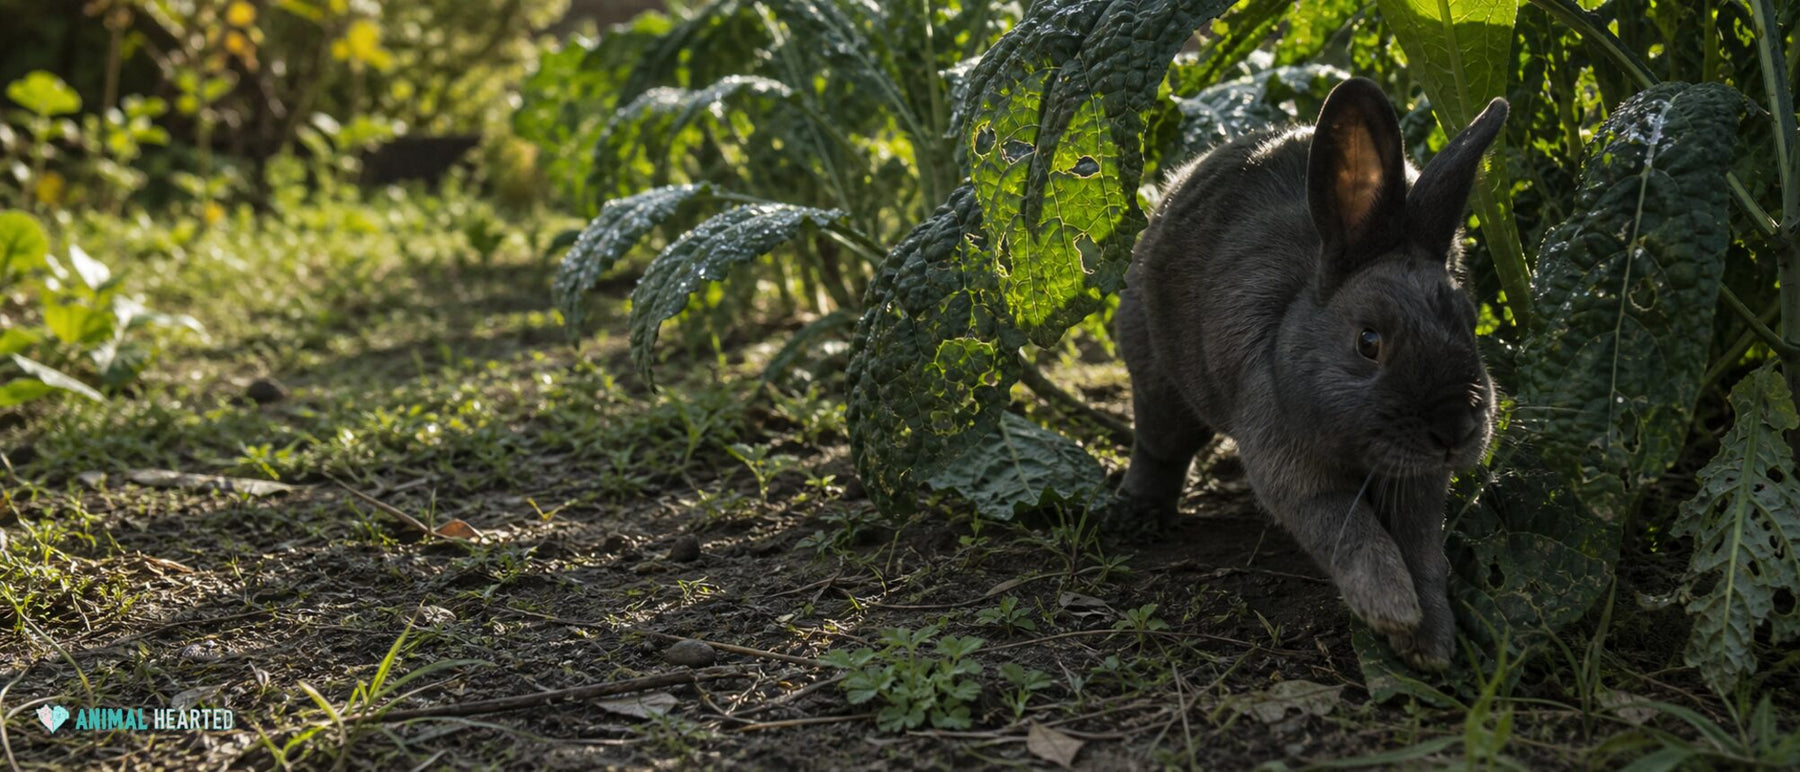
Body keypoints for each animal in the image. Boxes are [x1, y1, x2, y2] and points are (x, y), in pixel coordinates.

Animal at [1114, 77, 1506, 670]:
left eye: (1469, 320)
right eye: (1368, 342)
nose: (1455, 429)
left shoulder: (1416, 483)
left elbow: (1421, 550)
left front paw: (1430, 643)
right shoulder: (1292, 470)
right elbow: (1346, 528)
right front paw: (1391, 609)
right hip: (1156, 373)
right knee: (1159, 447)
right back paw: (1138, 516)